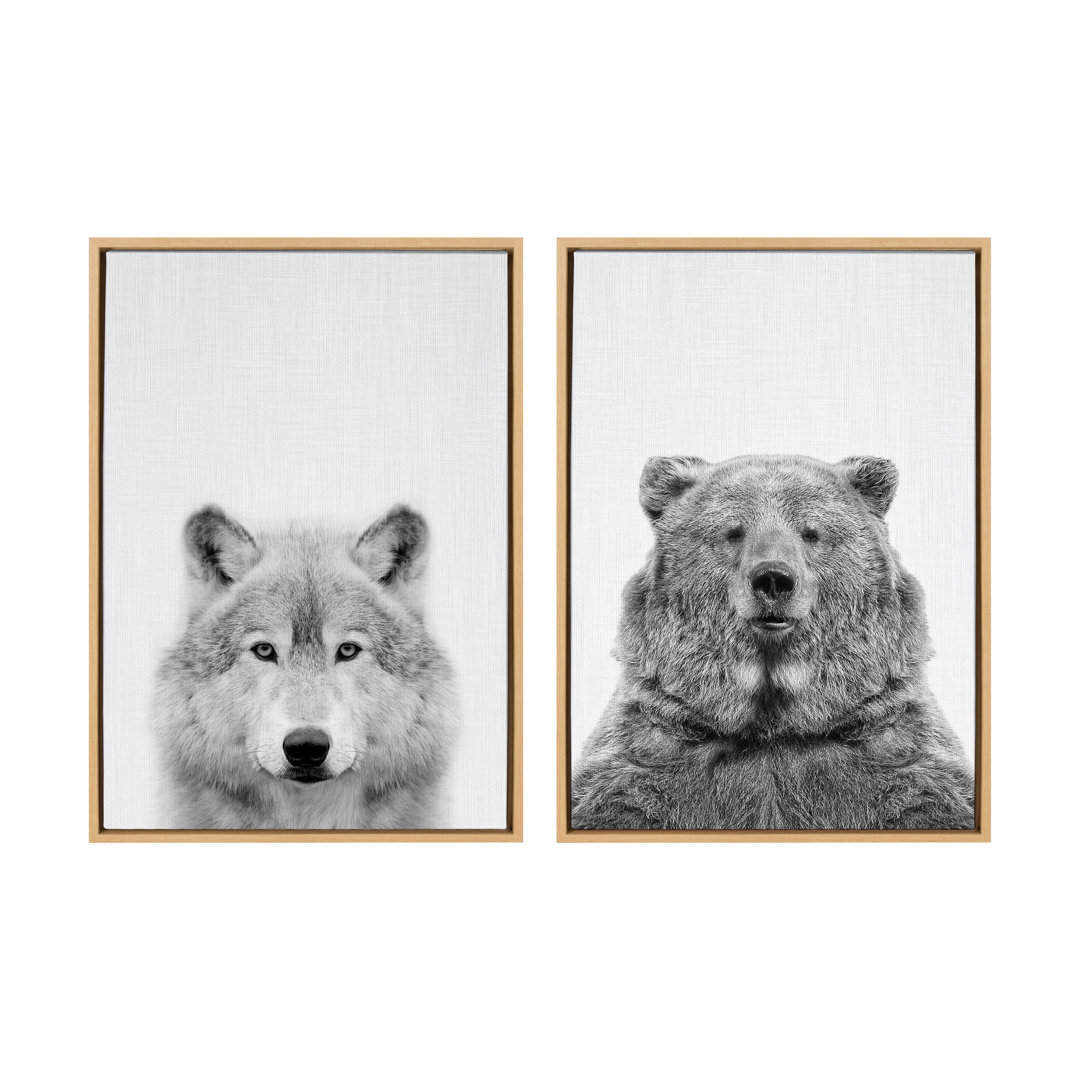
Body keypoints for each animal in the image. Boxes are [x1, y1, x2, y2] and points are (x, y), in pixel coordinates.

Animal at [571, 453, 975, 831]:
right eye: (734, 531)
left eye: (811, 532)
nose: (773, 579)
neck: (773, 724)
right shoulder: (650, 753)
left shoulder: (894, 750)